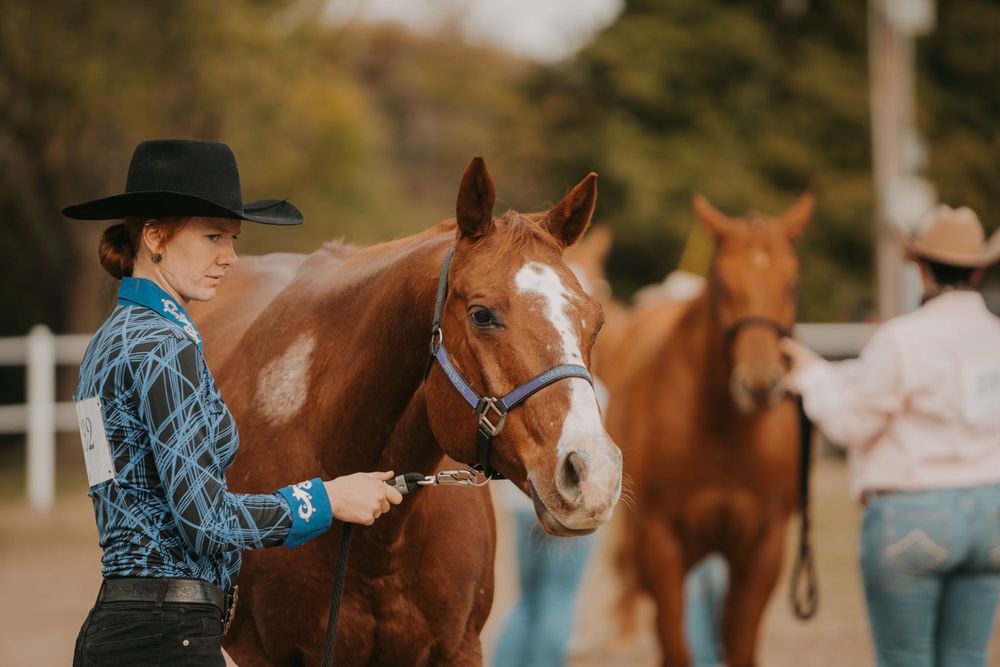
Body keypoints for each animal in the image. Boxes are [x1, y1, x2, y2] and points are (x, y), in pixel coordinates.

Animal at [609, 193, 813, 667]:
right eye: (721, 282)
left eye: (792, 283)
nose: (759, 384)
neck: (723, 429)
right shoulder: (661, 541)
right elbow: (676, 646)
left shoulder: (763, 547)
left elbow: (740, 644)